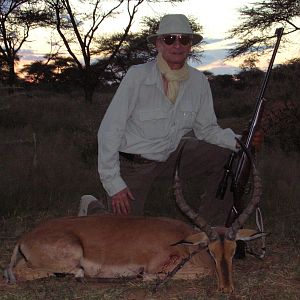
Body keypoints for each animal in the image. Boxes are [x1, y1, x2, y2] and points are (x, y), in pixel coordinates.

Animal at [3, 141, 264, 292]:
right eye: (211, 250)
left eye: (233, 250)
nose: (227, 289)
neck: (183, 242)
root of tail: (24, 238)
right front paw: (142, 278)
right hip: (70, 257)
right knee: (24, 274)